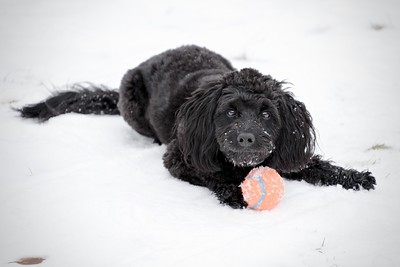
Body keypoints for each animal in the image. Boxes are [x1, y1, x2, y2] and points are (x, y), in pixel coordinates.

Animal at [18, 45, 376, 209]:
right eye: (230, 112)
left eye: (266, 115)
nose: (247, 139)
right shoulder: (180, 158)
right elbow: (211, 173)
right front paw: (235, 192)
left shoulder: (284, 151)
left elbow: (317, 166)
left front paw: (354, 177)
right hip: (130, 101)